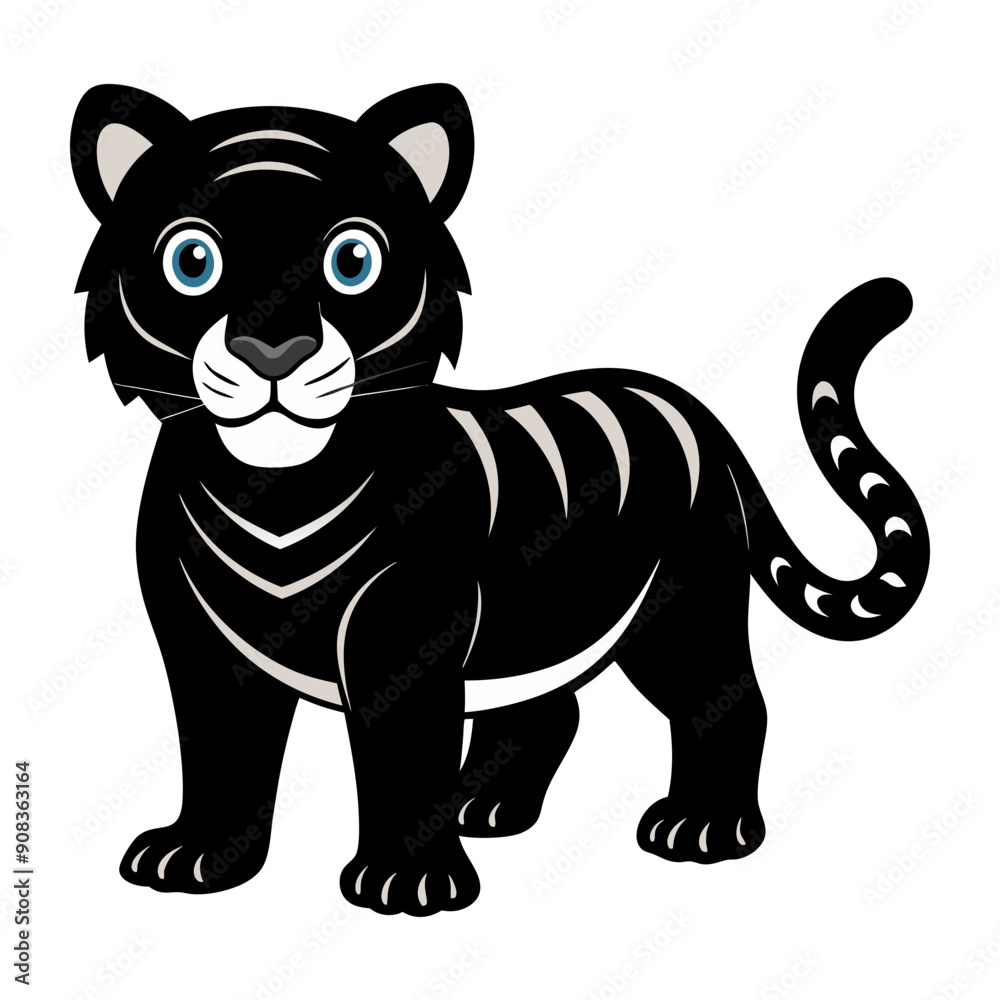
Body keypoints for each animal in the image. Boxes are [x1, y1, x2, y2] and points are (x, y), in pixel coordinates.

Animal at [71, 82, 929, 916]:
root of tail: (699, 414)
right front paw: (200, 858)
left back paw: (704, 828)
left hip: (679, 614)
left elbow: (402, 753)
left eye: (353, 259)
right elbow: (222, 754)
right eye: (192, 259)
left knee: (729, 702)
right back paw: (482, 808)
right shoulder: (200, 642)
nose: (273, 349)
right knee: (549, 709)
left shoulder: (404, 629)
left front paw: (407, 883)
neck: (275, 488)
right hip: (537, 618)